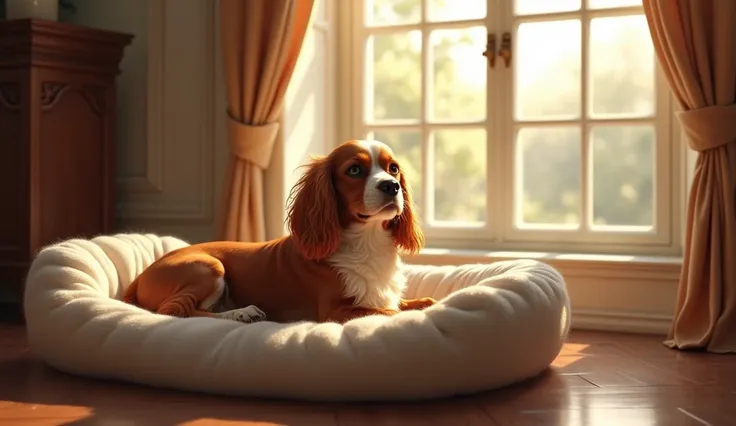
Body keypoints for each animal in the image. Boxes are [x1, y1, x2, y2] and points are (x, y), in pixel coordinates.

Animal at [122, 140, 436, 322]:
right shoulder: (336, 311)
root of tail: (139, 277)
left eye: (393, 169)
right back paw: (242, 312)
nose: (391, 186)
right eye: (355, 170)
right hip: (207, 267)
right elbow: (390, 311)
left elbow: (422, 302)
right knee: (178, 311)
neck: (366, 241)